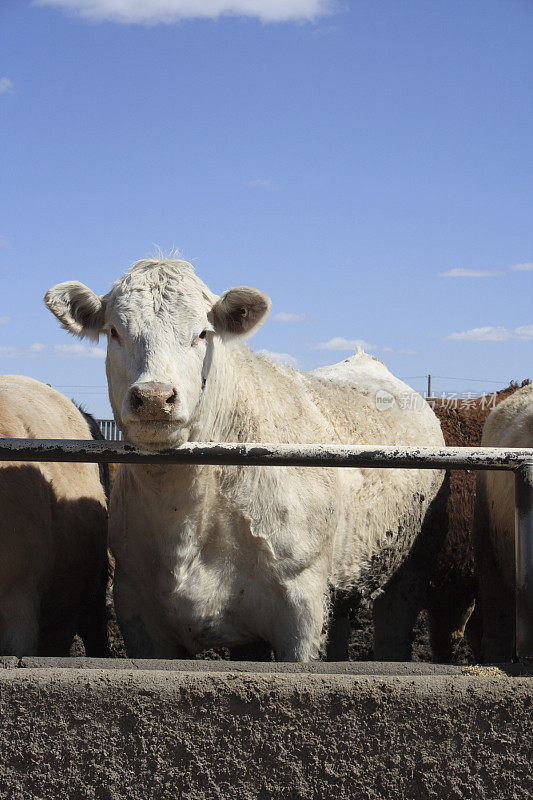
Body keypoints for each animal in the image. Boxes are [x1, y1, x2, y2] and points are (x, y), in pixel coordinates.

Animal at [44, 260, 444, 660]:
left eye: (203, 333)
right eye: (114, 331)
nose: (155, 398)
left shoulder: (302, 614)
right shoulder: (140, 617)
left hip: (403, 572)